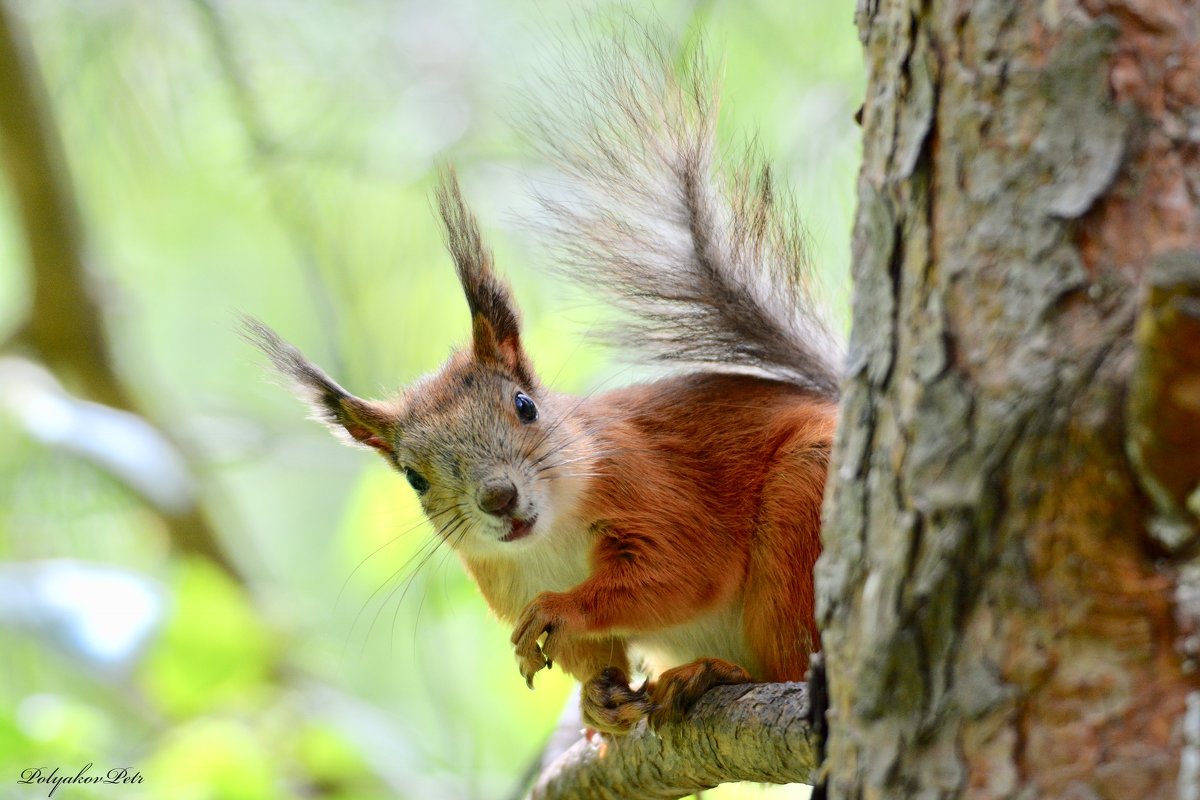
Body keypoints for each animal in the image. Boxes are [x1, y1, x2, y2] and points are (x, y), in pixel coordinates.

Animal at [248, 37, 840, 738]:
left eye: (525, 406)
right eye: (414, 478)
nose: (498, 498)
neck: (550, 539)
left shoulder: (653, 484)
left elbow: (680, 571)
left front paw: (563, 608)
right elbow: (594, 656)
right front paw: (597, 698)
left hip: (804, 502)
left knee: (791, 658)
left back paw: (716, 672)